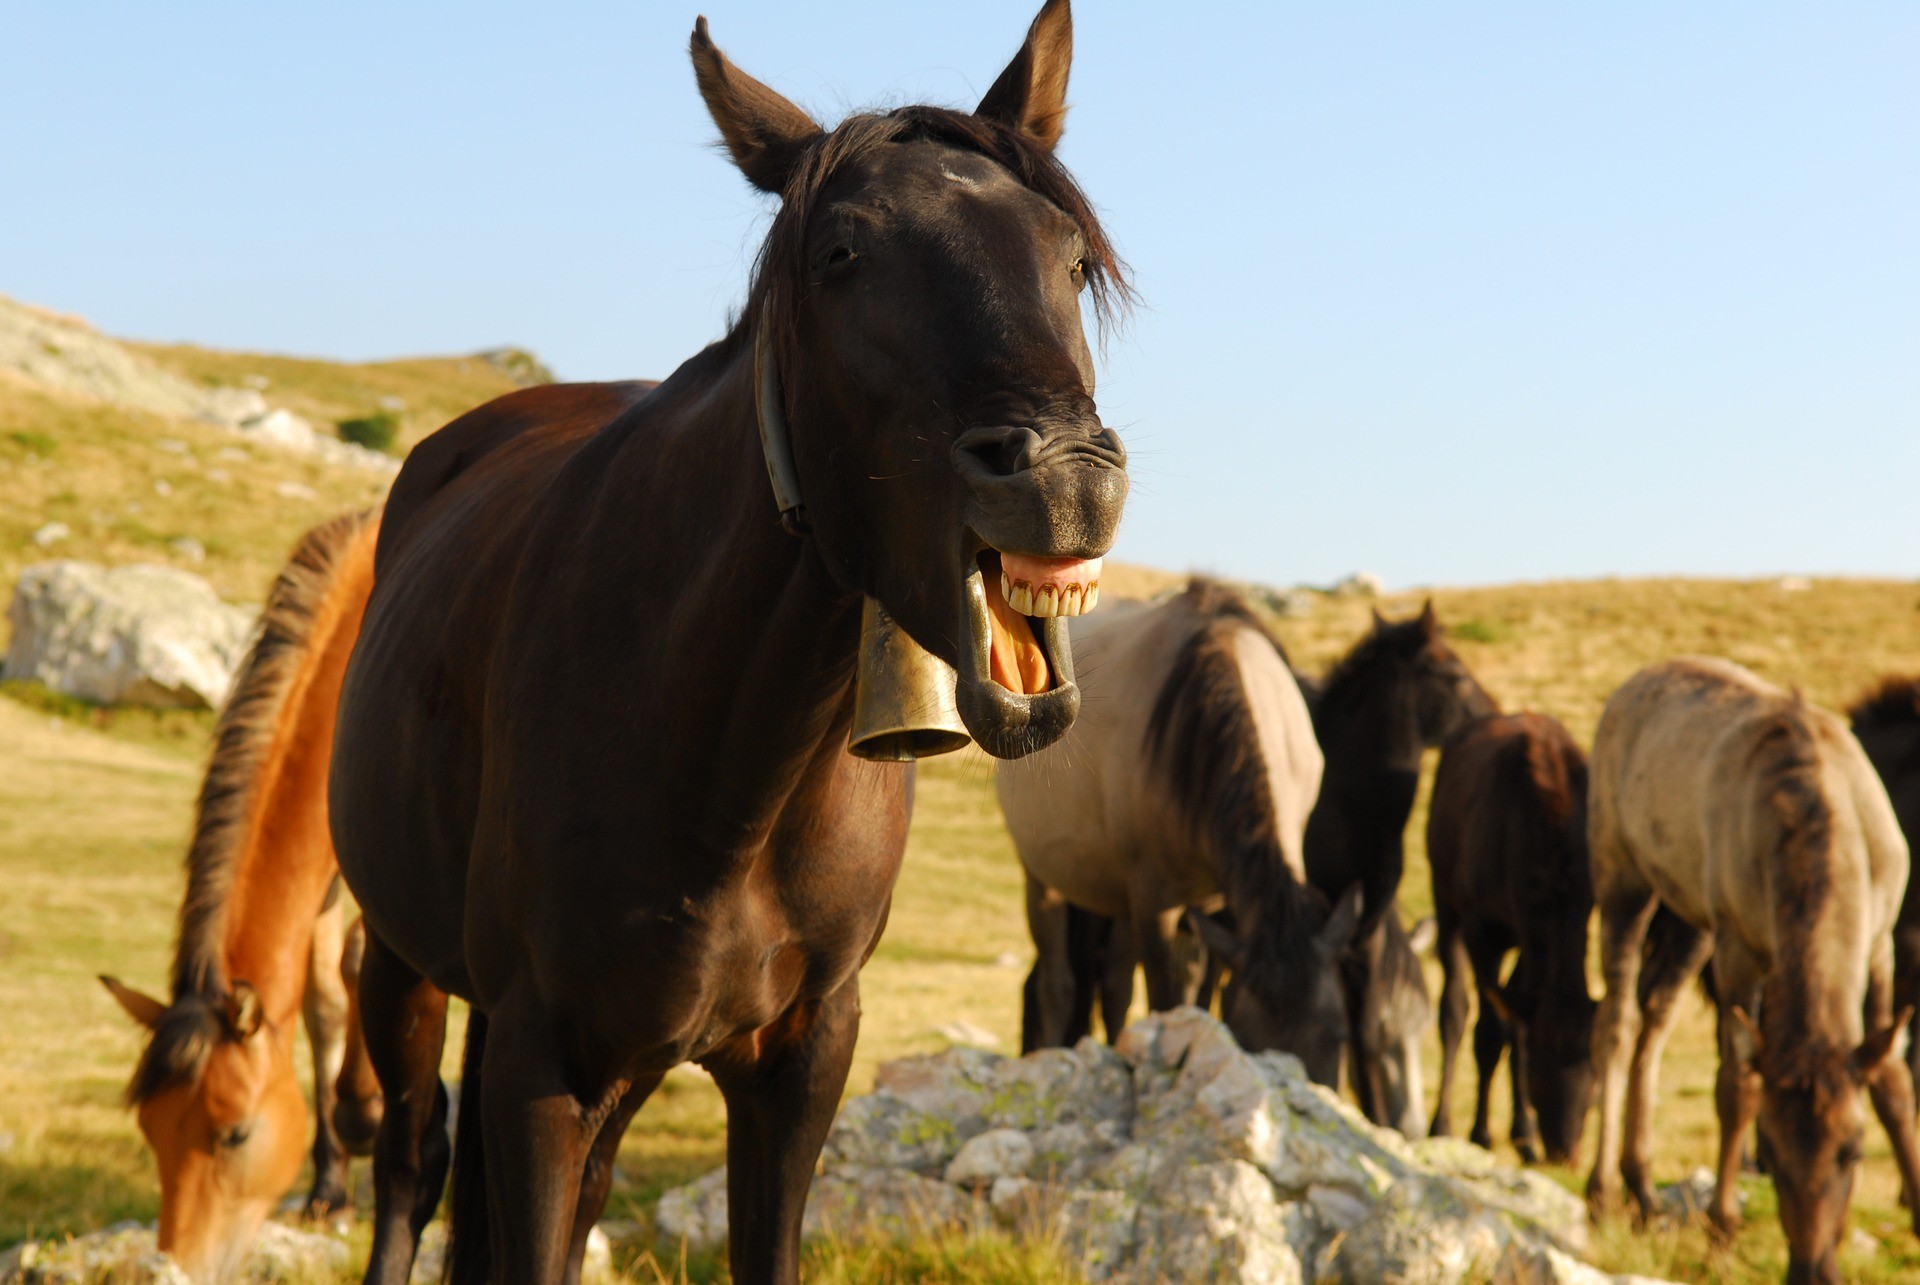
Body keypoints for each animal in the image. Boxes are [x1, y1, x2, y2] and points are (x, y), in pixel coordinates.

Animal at [100, 507, 382, 1275]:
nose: (178, 1262)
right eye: (151, 1128)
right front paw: (331, 1188)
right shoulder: (323, 878)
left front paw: (364, 1113)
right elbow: (322, 1001)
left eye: (235, 1133)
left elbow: (359, 964)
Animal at [998, 580, 1359, 1083]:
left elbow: (1200, 997)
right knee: (1058, 984)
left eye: (1339, 1036)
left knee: (1115, 984)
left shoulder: (1217, 902)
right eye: (1251, 1041)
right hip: (1045, 876)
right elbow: (1165, 999)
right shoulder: (1155, 899)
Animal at [1428, 710, 1605, 1160]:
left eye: (1594, 1077)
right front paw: (1481, 1132)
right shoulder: (1481, 925)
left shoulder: (1539, 934)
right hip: (1444, 897)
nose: (1564, 1151)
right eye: (1539, 1073)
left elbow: (1518, 1027)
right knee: (1453, 1009)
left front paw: (1523, 1133)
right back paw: (1441, 1123)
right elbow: (1490, 1031)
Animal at [1582, 656, 1920, 1275]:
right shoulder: (1738, 943)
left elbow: (1892, 1080)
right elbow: (1734, 1085)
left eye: (1855, 1151)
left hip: (1690, 912)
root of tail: (1630, 684)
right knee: (1615, 1022)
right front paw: (1722, 1230)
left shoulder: (1881, 940)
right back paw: (1603, 1194)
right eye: (1769, 1153)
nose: (1812, 1271)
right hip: (1622, 874)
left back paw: (1643, 1189)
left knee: (1655, 1016)